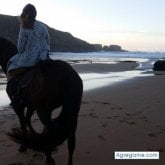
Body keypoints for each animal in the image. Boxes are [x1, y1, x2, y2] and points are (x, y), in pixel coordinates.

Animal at [0, 37, 82, 165]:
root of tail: (67, 75)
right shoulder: (31, 105)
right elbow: (27, 119)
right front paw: (32, 137)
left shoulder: (18, 106)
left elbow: (23, 123)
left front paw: (24, 145)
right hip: (72, 112)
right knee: (71, 141)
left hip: (43, 111)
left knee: (52, 132)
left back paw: (48, 156)